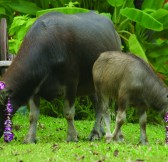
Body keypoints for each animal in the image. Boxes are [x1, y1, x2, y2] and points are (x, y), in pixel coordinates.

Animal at [0, 11, 121, 143]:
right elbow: (33, 115)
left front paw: (72, 136)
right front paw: (30, 138)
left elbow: (68, 113)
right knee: (98, 106)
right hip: (91, 86)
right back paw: (99, 132)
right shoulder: (33, 87)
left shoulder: (71, 84)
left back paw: (96, 133)